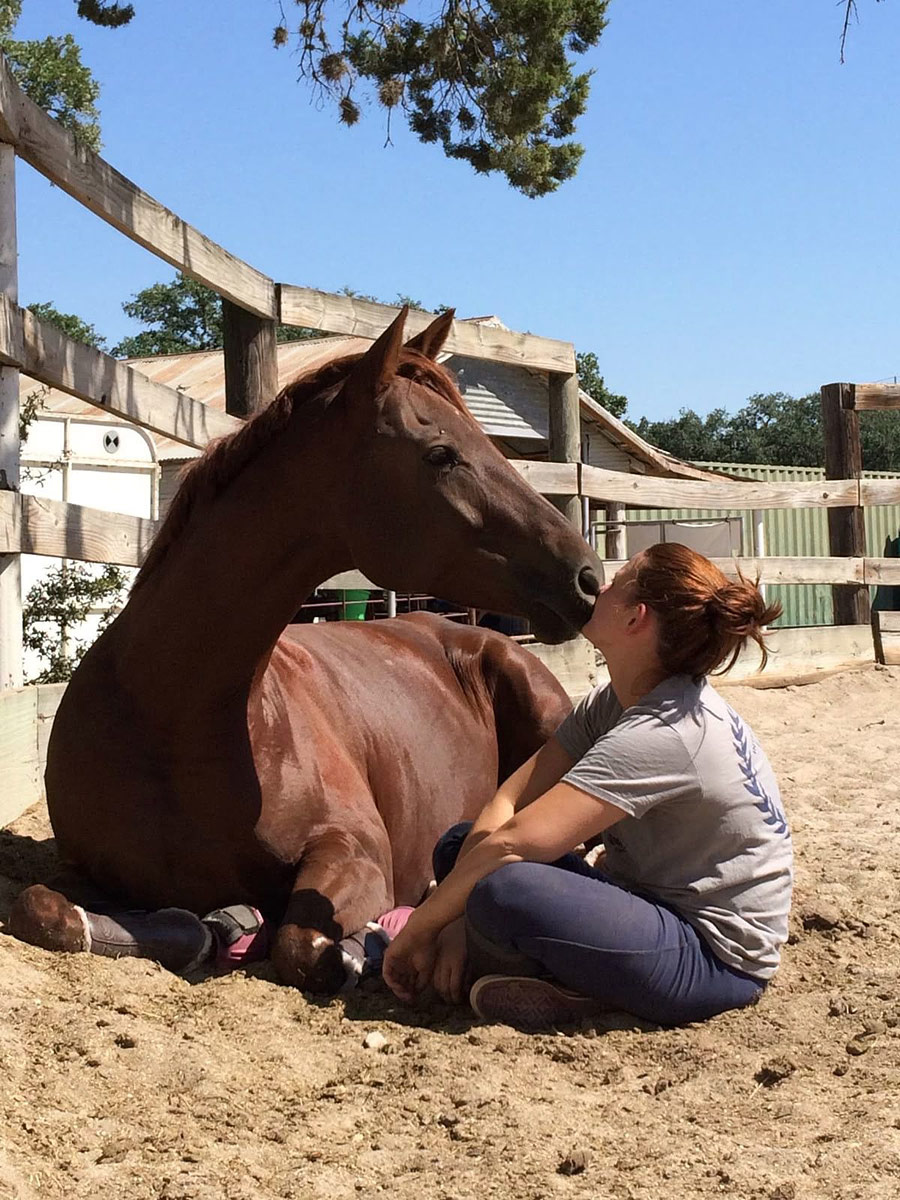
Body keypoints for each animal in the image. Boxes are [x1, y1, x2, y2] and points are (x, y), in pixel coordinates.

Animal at [10, 308, 602, 993]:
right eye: (441, 453)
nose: (587, 577)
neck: (171, 721)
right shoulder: (84, 871)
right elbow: (44, 910)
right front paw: (203, 930)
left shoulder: (353, 850)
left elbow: (302, 944)